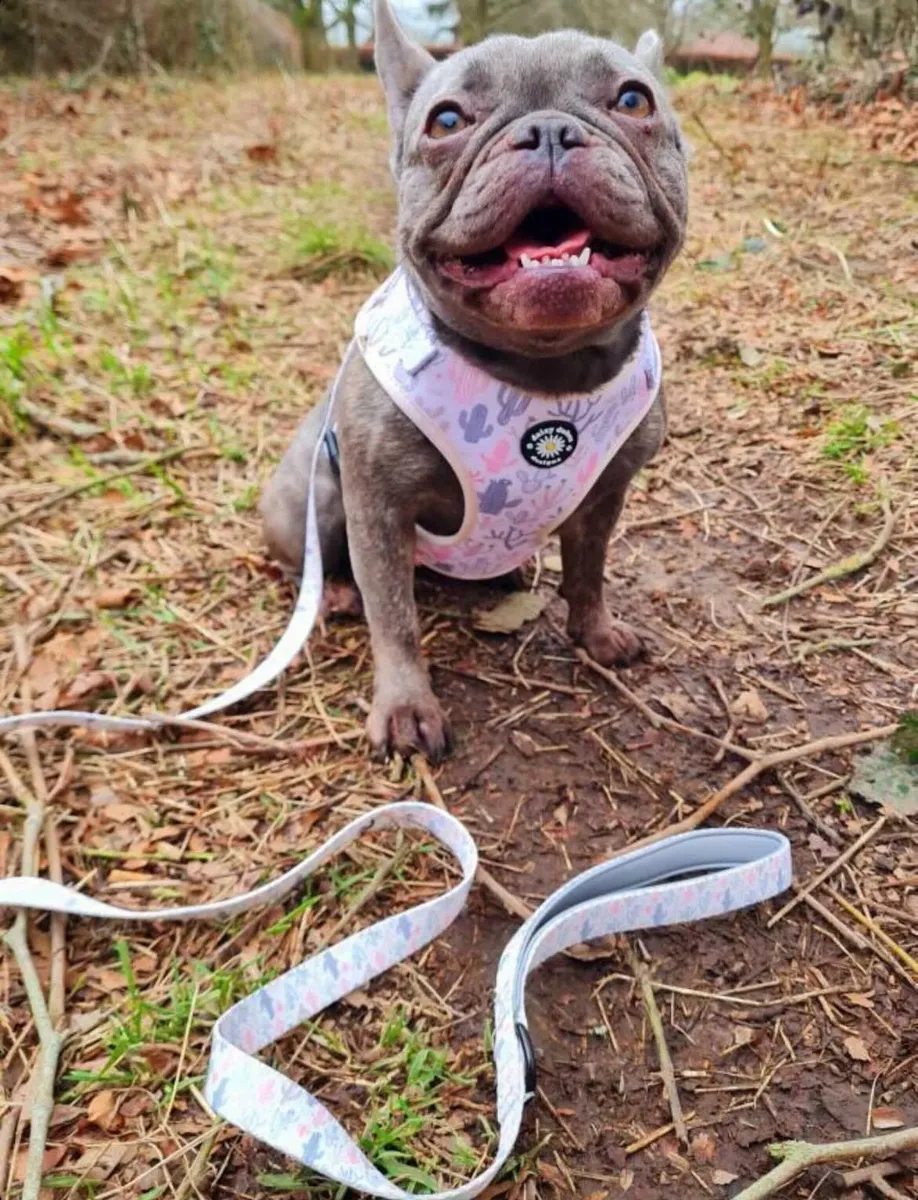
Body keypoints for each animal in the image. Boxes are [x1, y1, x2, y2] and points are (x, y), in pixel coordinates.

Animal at [261, 0, 686, 763]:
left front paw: (596, 633)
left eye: (634, 100)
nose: (548, 129)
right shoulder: (379, 508)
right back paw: (334, 593)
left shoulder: (606, 494)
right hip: (312, 499)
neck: (543, 369)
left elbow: (589, 571)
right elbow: (394, 616)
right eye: (448, 120)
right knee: (312, 566)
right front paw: (406, 706)